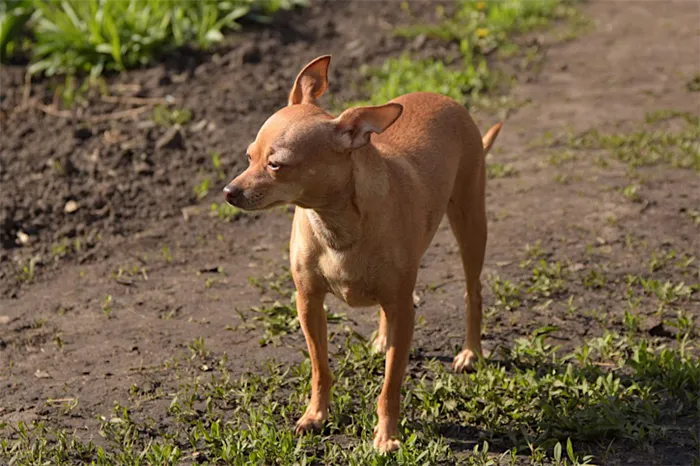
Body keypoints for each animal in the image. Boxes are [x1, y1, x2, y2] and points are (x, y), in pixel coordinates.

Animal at [223, 55, 498, 452]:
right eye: (249, 157)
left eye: (276, 165)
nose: (229, 191)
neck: (335, 225)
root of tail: (443, 97)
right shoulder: (308, 302)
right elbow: (320, 369)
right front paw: (316, 415)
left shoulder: (403, 311)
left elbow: (390, 386)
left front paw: (387, 435)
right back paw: (383, 338)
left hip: (470, 223)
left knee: (471, 291)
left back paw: (471, 352)